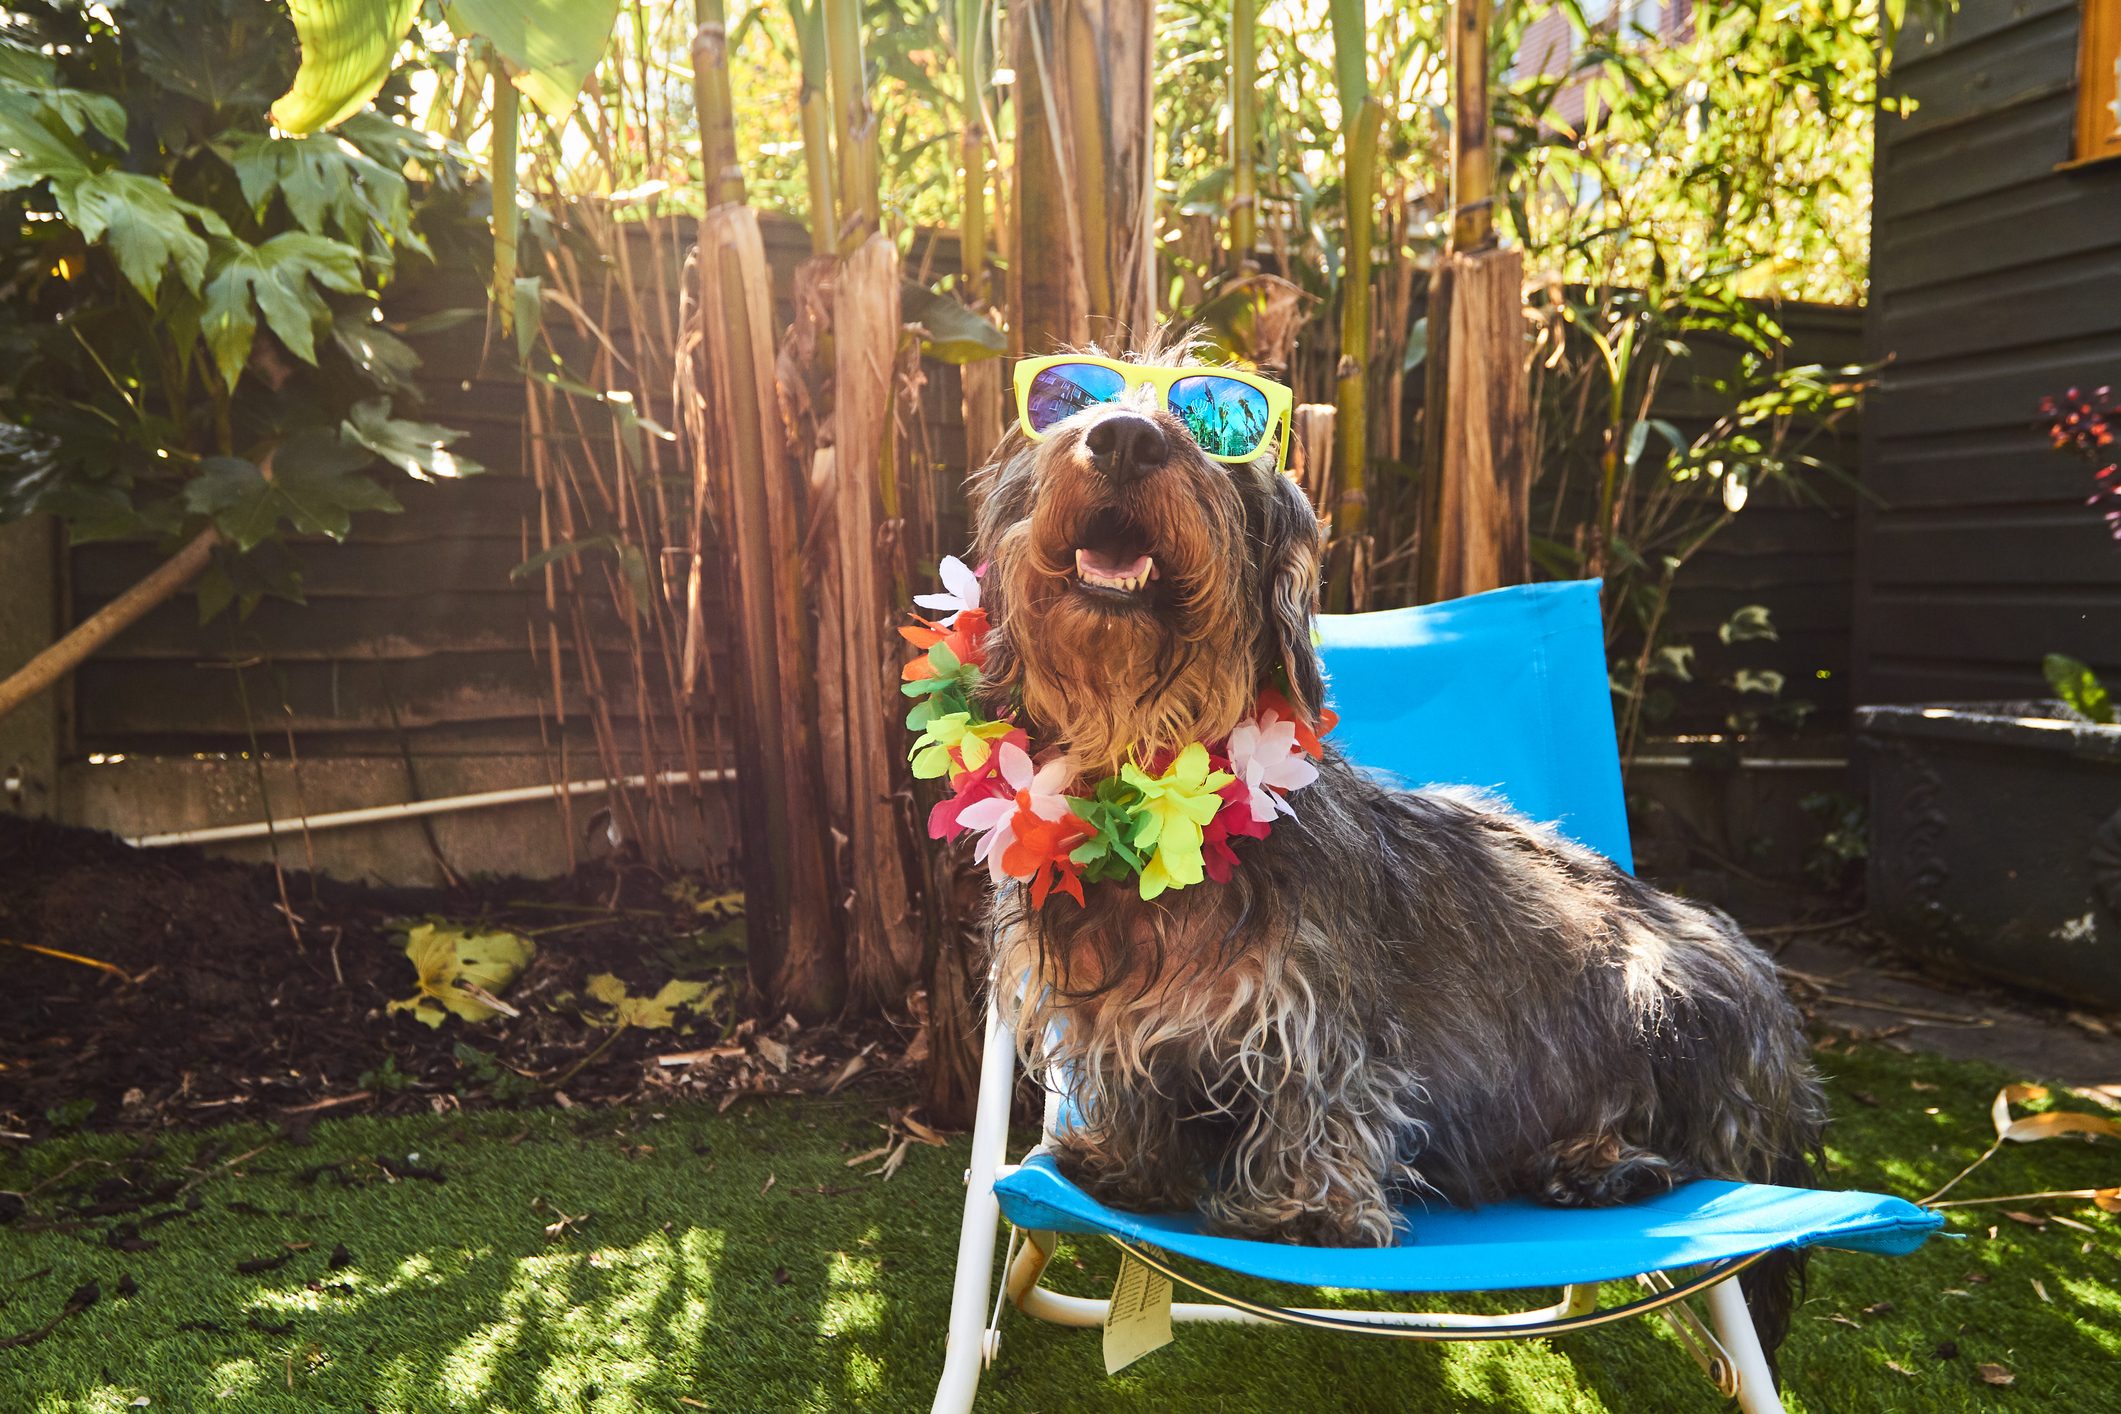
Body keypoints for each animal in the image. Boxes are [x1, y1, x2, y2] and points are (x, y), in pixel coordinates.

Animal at [962, 337, 1824, 1356]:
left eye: (1218, 428)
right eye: (1067, 401)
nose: (1126, 439)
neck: (1144, 754)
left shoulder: (1319, 1010)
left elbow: (1321, 1087)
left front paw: (1307, 1209)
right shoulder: (1125, 1012)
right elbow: (1138, 1085)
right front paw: (1126, 1162)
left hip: (1667, 986)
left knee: (1692, 1149)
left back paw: (1597, 1161)